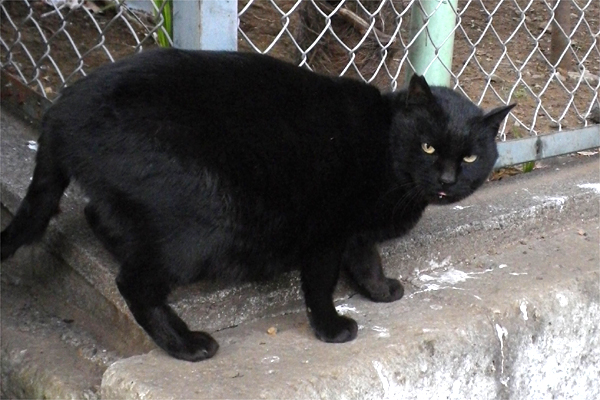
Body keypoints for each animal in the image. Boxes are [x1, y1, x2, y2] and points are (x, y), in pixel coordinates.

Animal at [1, 47, 516, 362]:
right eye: (429, 147)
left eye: (470, 157)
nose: (447, 180)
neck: (387, 151)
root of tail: (60, 107)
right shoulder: (326, 232)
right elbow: (321, 285)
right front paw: (331, 329)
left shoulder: (352, 230)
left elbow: (366, 258)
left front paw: (380, 290)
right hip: (203, 220)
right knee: (134, 283)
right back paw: (186, 344)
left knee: (98, 216)